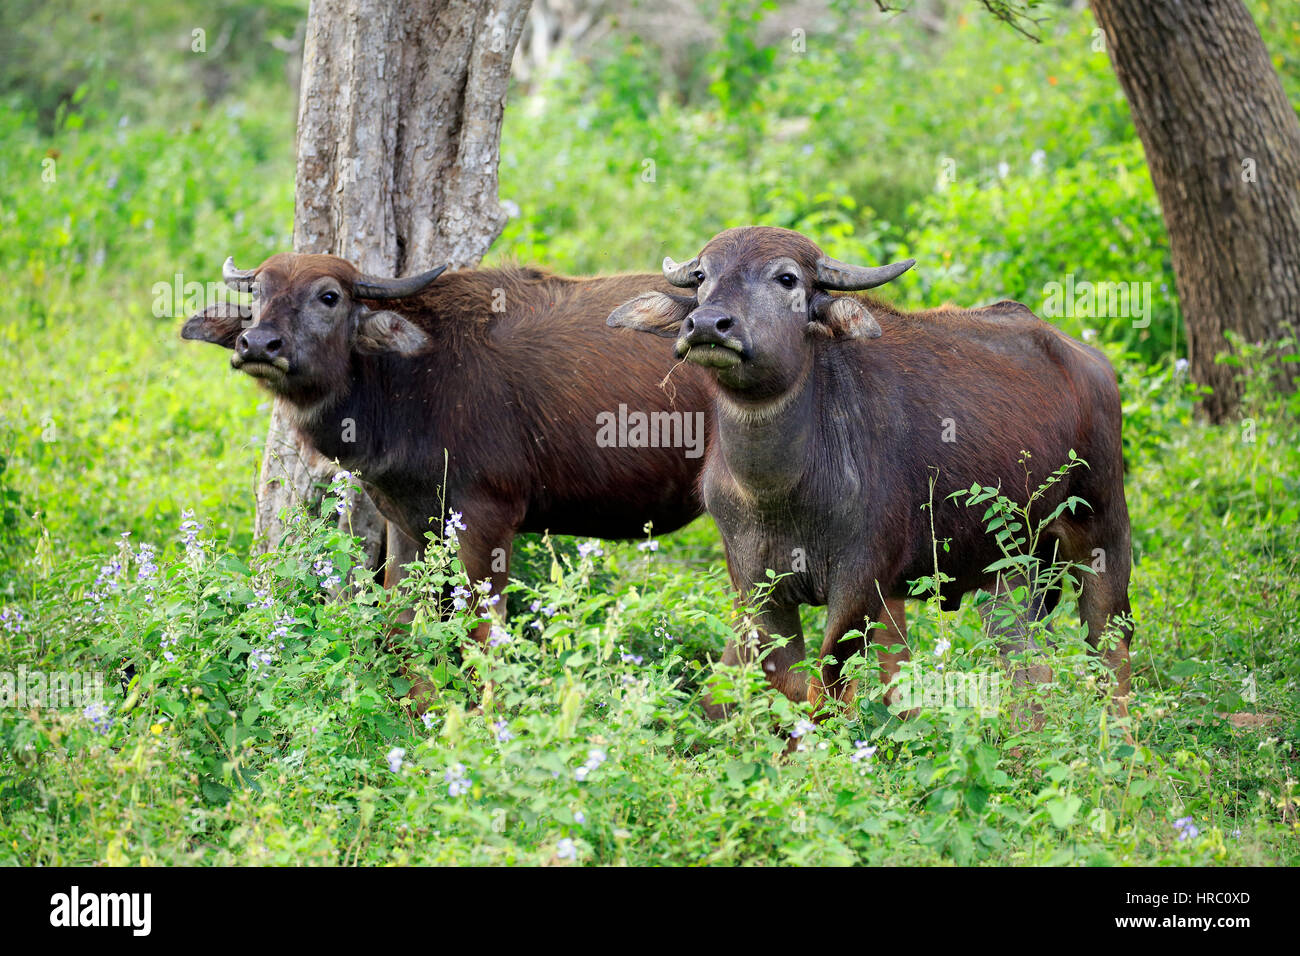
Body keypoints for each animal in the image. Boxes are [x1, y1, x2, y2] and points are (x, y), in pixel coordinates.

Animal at [605, 223, 1128, 717]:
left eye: (786, 278)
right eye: (701, 277)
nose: (707, 325)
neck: (779, 491)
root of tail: (1092, 364)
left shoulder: (860, 584)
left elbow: (827, 688)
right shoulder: (756, 588)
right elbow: (791, 688)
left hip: (1101, 532)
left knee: (1111, 646)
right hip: (1012, 571)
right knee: (1027, 665)